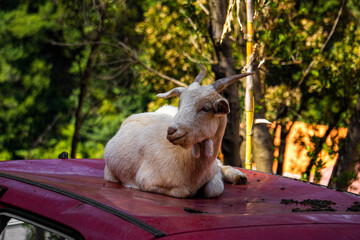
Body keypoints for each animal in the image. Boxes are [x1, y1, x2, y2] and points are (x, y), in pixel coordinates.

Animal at [104, 64, 250, 198]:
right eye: (180, 104)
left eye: (206, 108)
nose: (171, 131)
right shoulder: (147, 181)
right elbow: (184, 192)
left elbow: (215, 188)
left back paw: (238, 176)